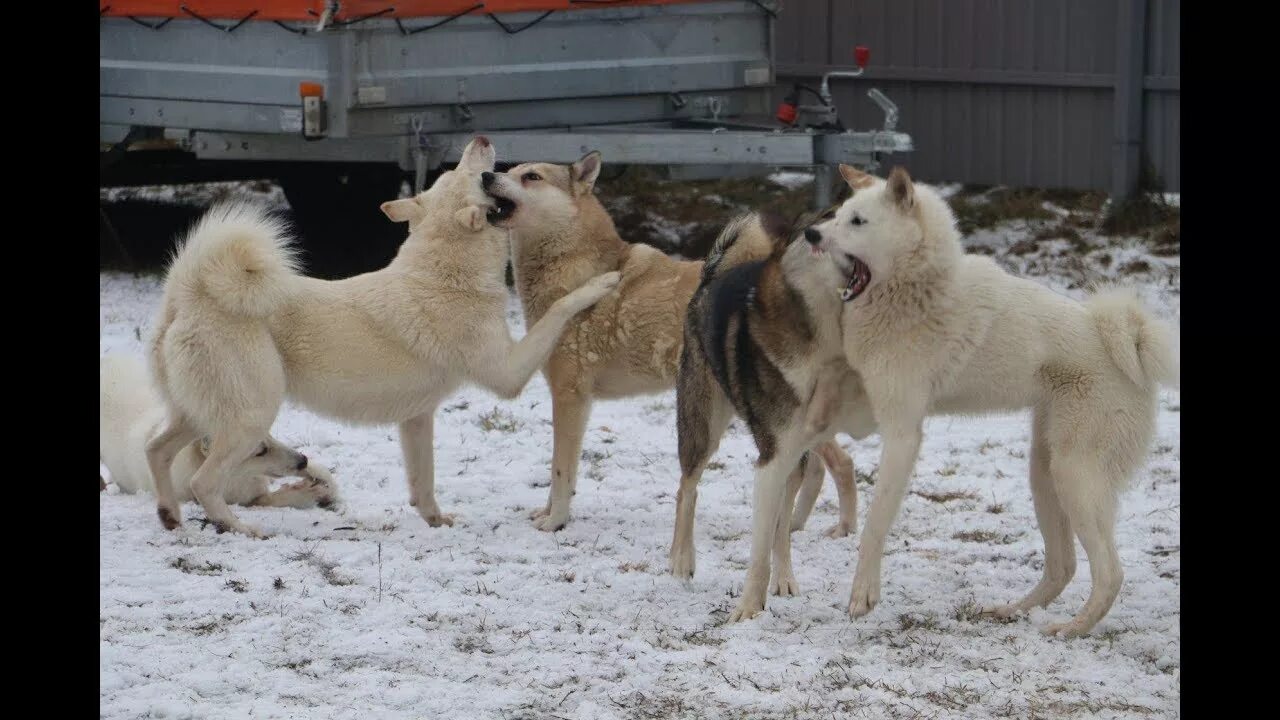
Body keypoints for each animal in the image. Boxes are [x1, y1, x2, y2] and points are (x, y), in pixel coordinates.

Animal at [144, 137, 619, 535]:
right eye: (471, 174)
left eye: (458, 172)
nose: (481, 142)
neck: (445, 274)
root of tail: (189, 294)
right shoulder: (508, 374)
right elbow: (559, 310)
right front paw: (600, 284)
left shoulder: (417, 419)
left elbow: (423, 482)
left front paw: (436, 522)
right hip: (249, 419)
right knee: (204, 482)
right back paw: (238, 528)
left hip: (201, 415)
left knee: (157, 451)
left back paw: (170, 516)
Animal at [481, 152, 860, 532]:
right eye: (508, 170)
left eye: (531, 177)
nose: (485, 175)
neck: (579, 267)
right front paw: (547, 513)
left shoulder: (570, 397)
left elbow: (561, 471)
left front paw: (555, 521)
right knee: (827, 466)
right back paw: (798, 526)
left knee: (837, 465)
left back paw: (839, 529)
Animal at [732, 163, 1177, 632]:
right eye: (837, 216)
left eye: (857, 221)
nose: (813, 234)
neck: (915, 289)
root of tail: (1131, 341)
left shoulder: (902, 434)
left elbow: (874, 525)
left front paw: (862, 596)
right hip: (1045, 473)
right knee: (1064, 566)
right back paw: (1012, 610)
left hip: (1075, 476)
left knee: (1109, 572)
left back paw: (1071, 628)